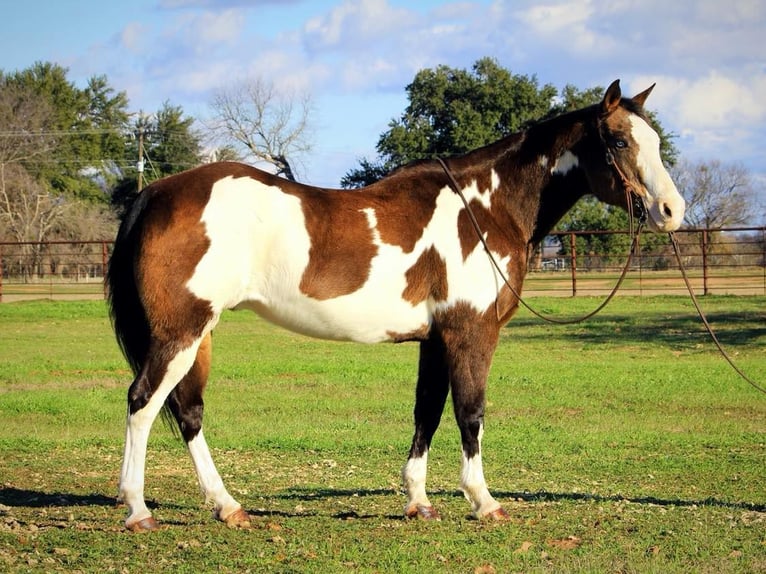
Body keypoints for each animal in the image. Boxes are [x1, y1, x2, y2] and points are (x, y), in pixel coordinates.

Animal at [106, 79, 684, 532]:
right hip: (179, 333)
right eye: (618, 140)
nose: (671, 211)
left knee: (186, 411)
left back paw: (227, 507)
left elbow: (427, 411)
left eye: (655, 140)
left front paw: (419, 502)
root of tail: (153, 193)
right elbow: (470, 411)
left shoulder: (436, 338)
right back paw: (138, 510)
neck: (484, 207)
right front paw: (484, 501)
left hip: (195, 334)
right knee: (143, 402)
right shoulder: (472, 332)